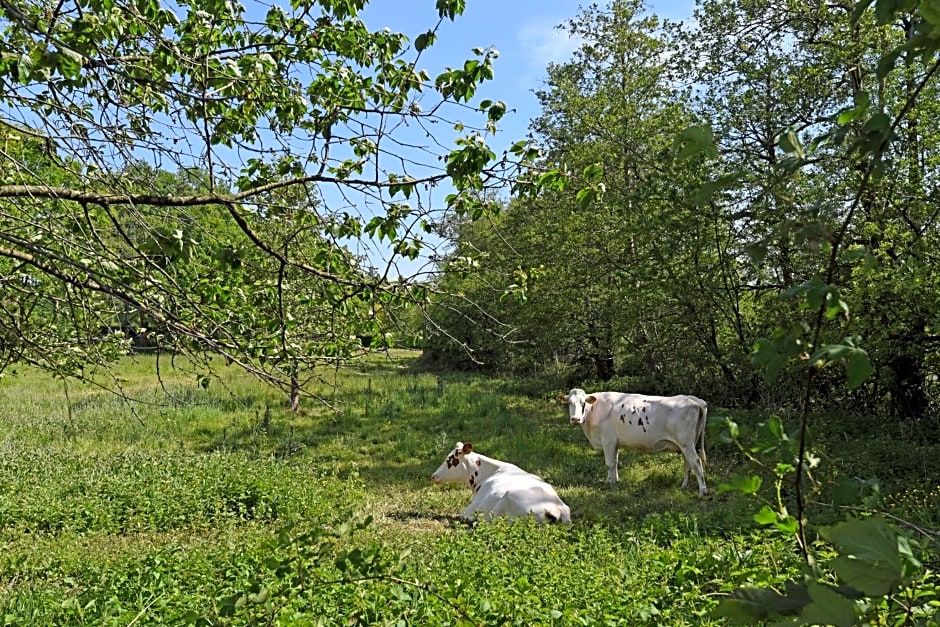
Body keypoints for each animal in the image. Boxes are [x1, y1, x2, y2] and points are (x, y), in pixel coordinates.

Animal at [560, 388, 704, 496]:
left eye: (583, 403)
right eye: (569, 403)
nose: (575, 419)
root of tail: (693, 399)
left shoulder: (608, 440)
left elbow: (609, 463)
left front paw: (610, 482)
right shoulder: (615, 442)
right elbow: (615, 462)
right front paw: (616, 480)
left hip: (686, 442)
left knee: (696, 462)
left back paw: (703, 491)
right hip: (687, 444)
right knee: (688, 464)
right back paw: (683, 486)